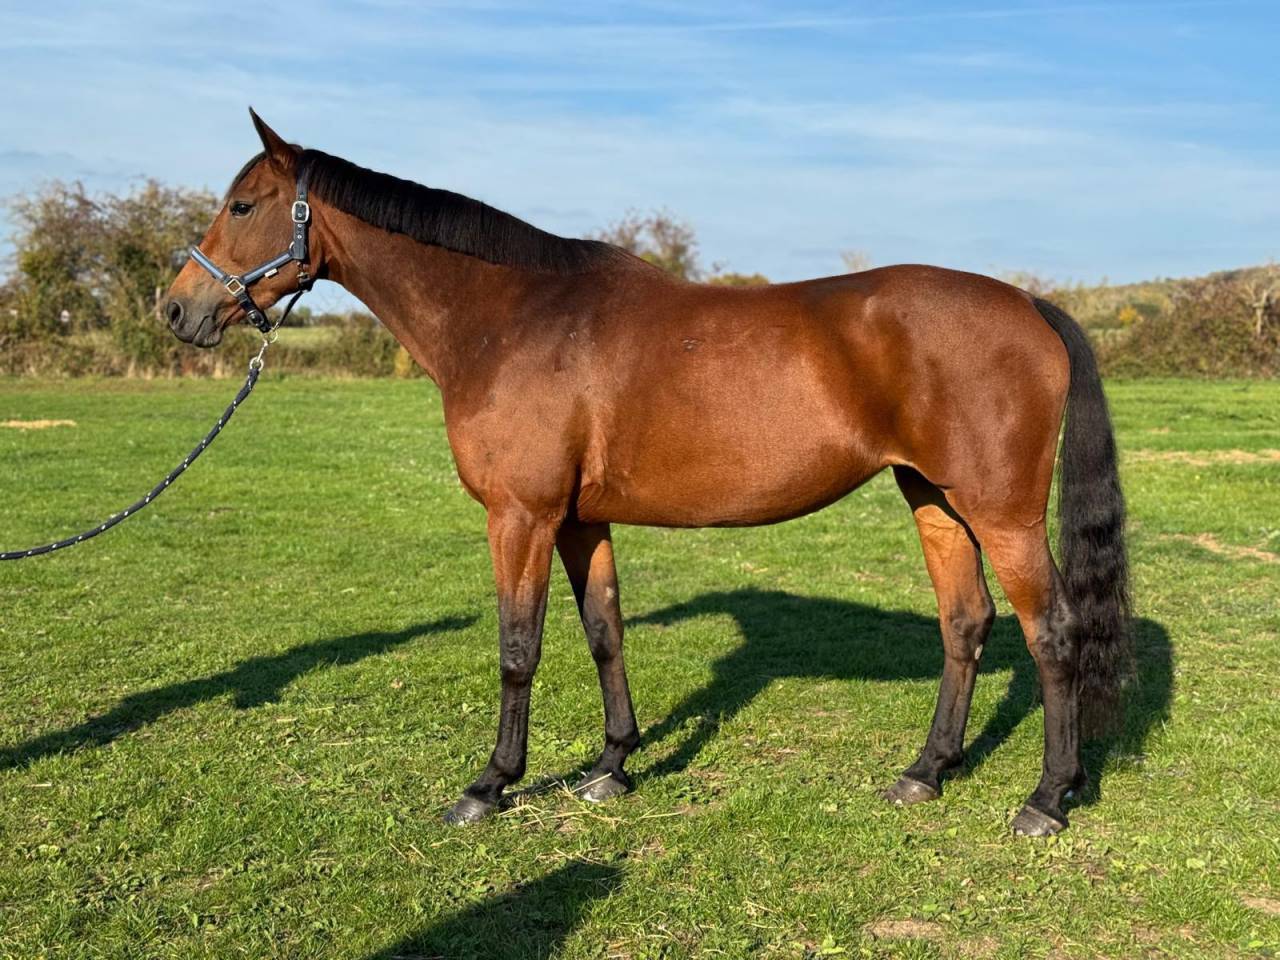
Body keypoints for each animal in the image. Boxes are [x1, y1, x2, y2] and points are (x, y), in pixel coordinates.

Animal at [163, 110, 1130, 836]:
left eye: (243, 204)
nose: (178, 308)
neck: (513, 318)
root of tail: (1029, 303)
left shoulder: (520, 516)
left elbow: (518, 647)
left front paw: (490, 785)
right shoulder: (579, 519)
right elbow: (604, 631)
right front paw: (611, 766)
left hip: (1002, 513)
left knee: (1053, 633)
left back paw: (1047, 799)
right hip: (935, 499)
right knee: (965, 624)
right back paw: (926, 771)